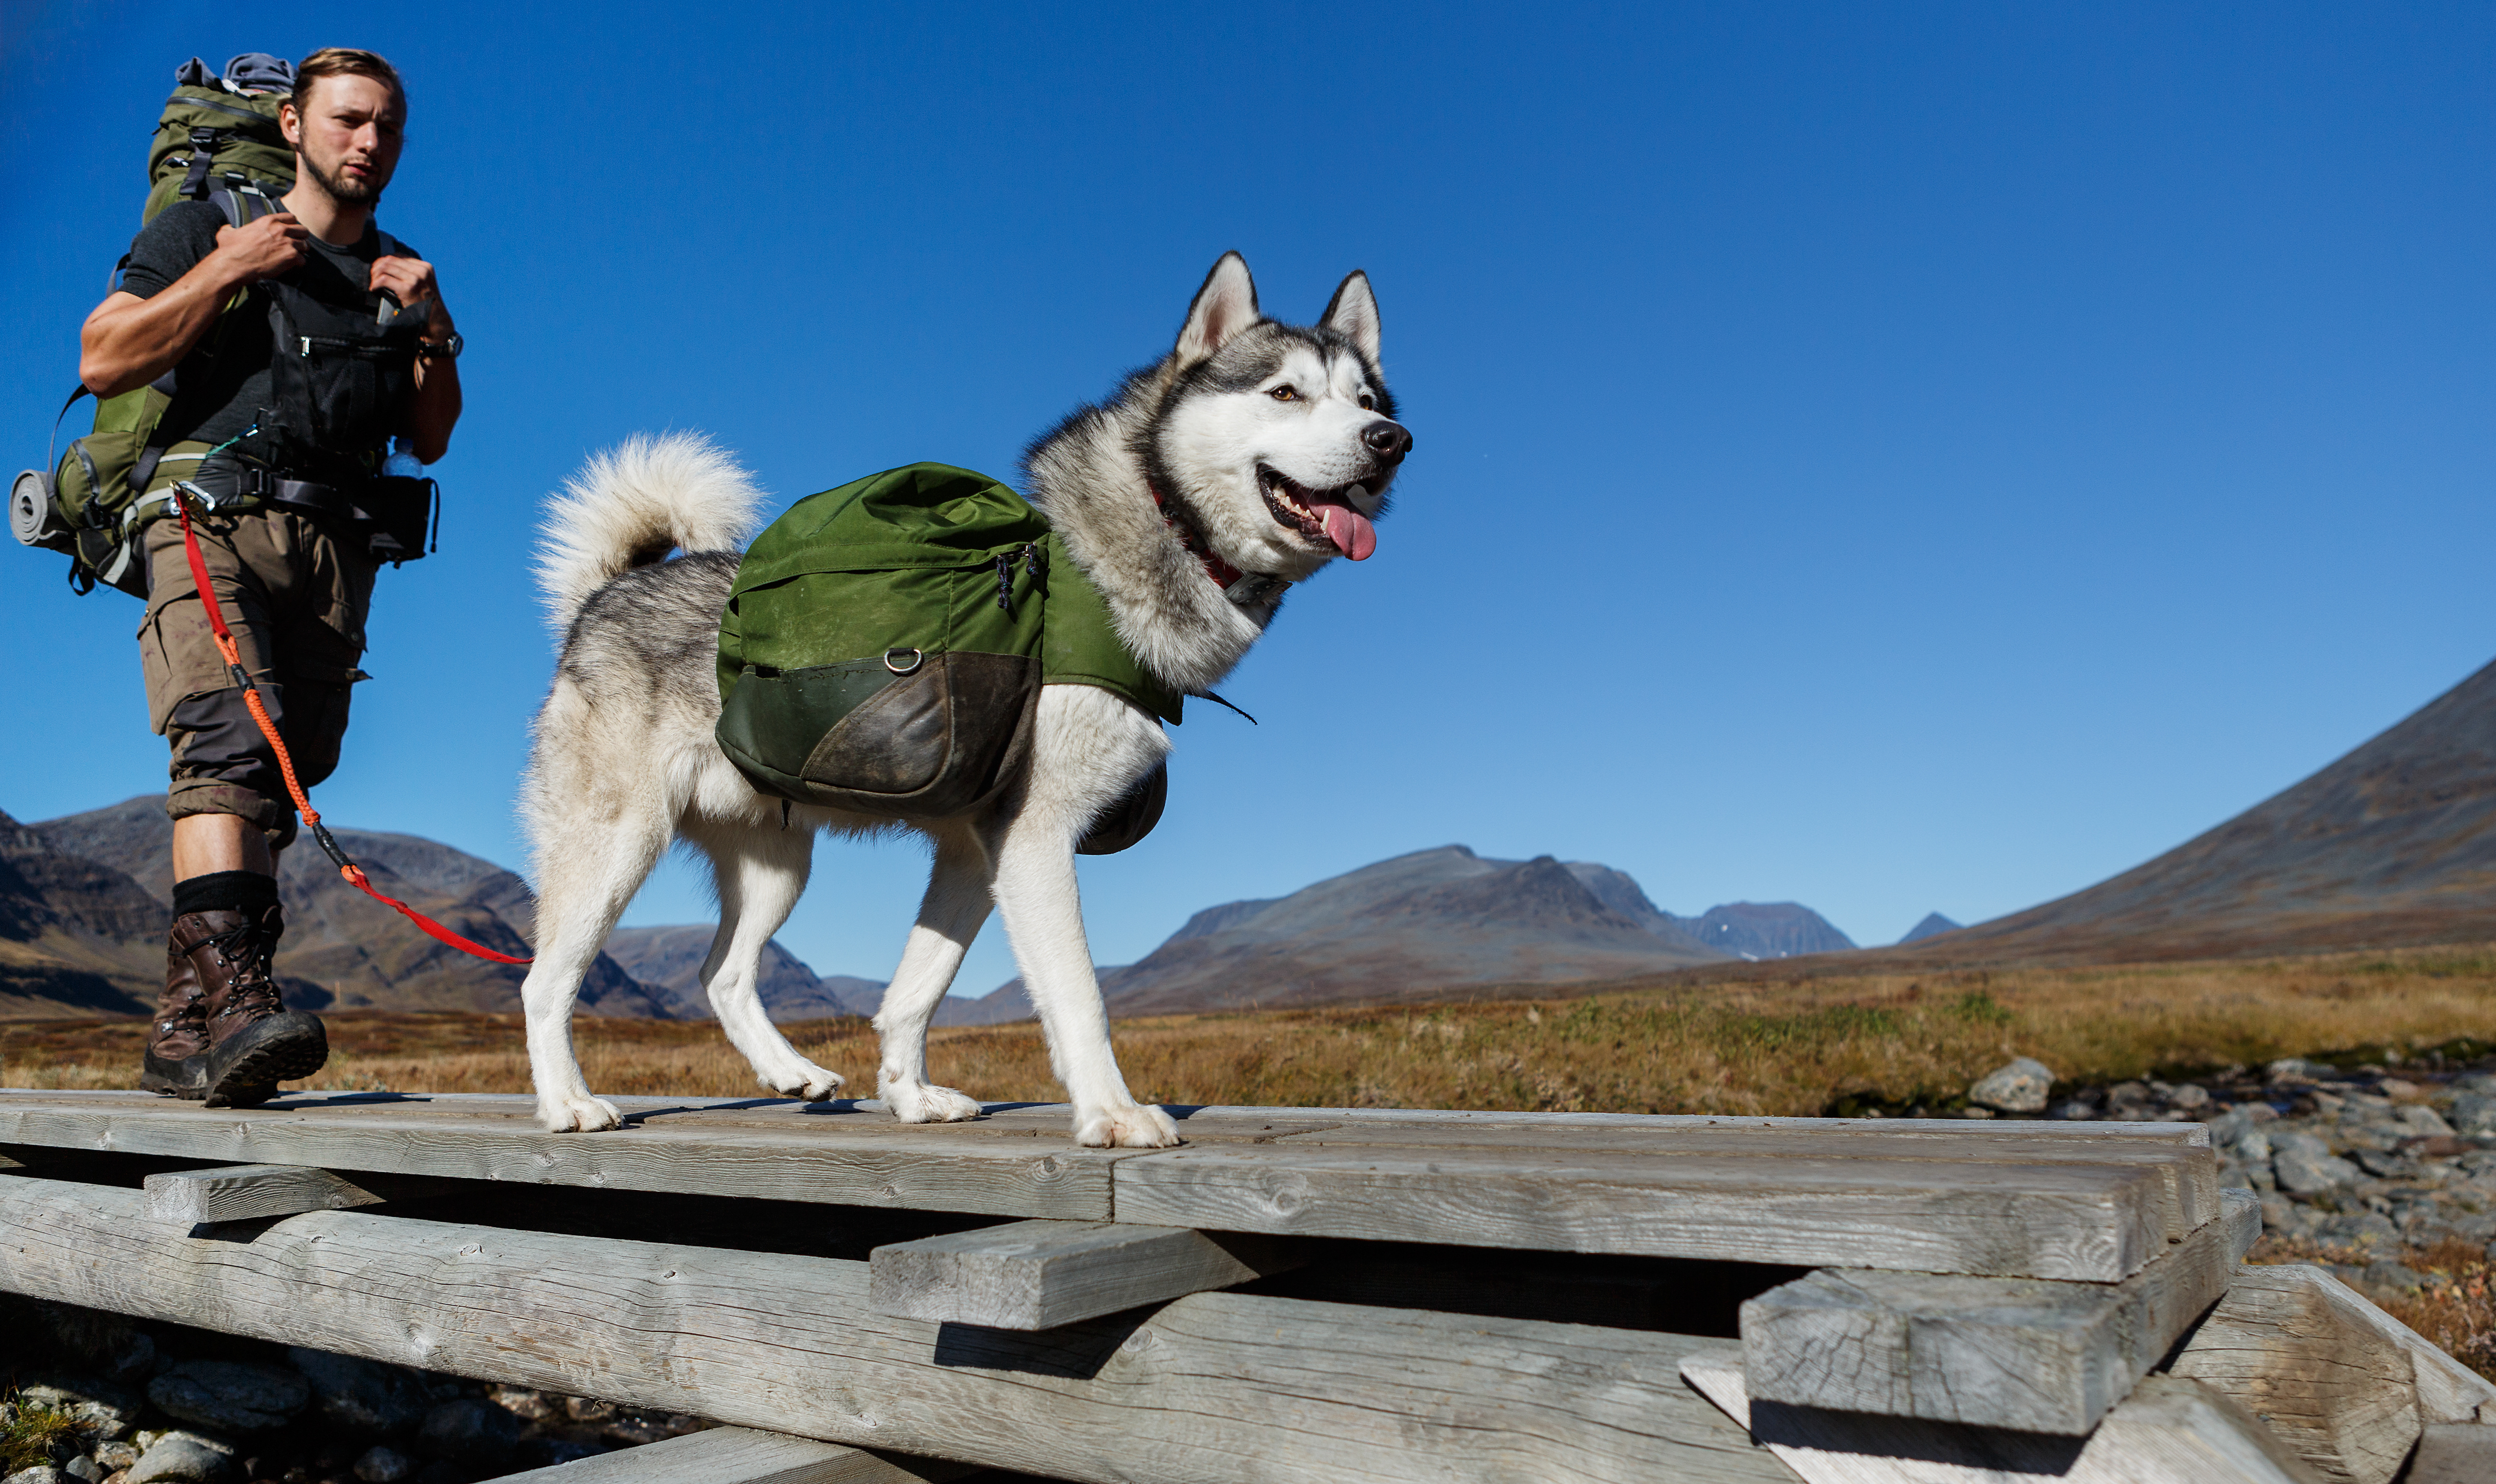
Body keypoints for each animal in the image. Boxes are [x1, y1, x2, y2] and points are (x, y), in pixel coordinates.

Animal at [516, 253, 1418, 1147]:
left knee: (722, 974)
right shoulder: (1034, 834)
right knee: (545, 981)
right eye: (1284, 393)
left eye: (1367, 402)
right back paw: (568, 1103)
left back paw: (791, 1071)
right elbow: (1079, 995)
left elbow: (916, 988)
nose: (1391, 442)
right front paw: (1113, 1113)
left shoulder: (972, 846)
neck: (1148, 539)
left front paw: (910, 1095)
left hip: (777, 864)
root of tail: (606, 595)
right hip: (617, 845)